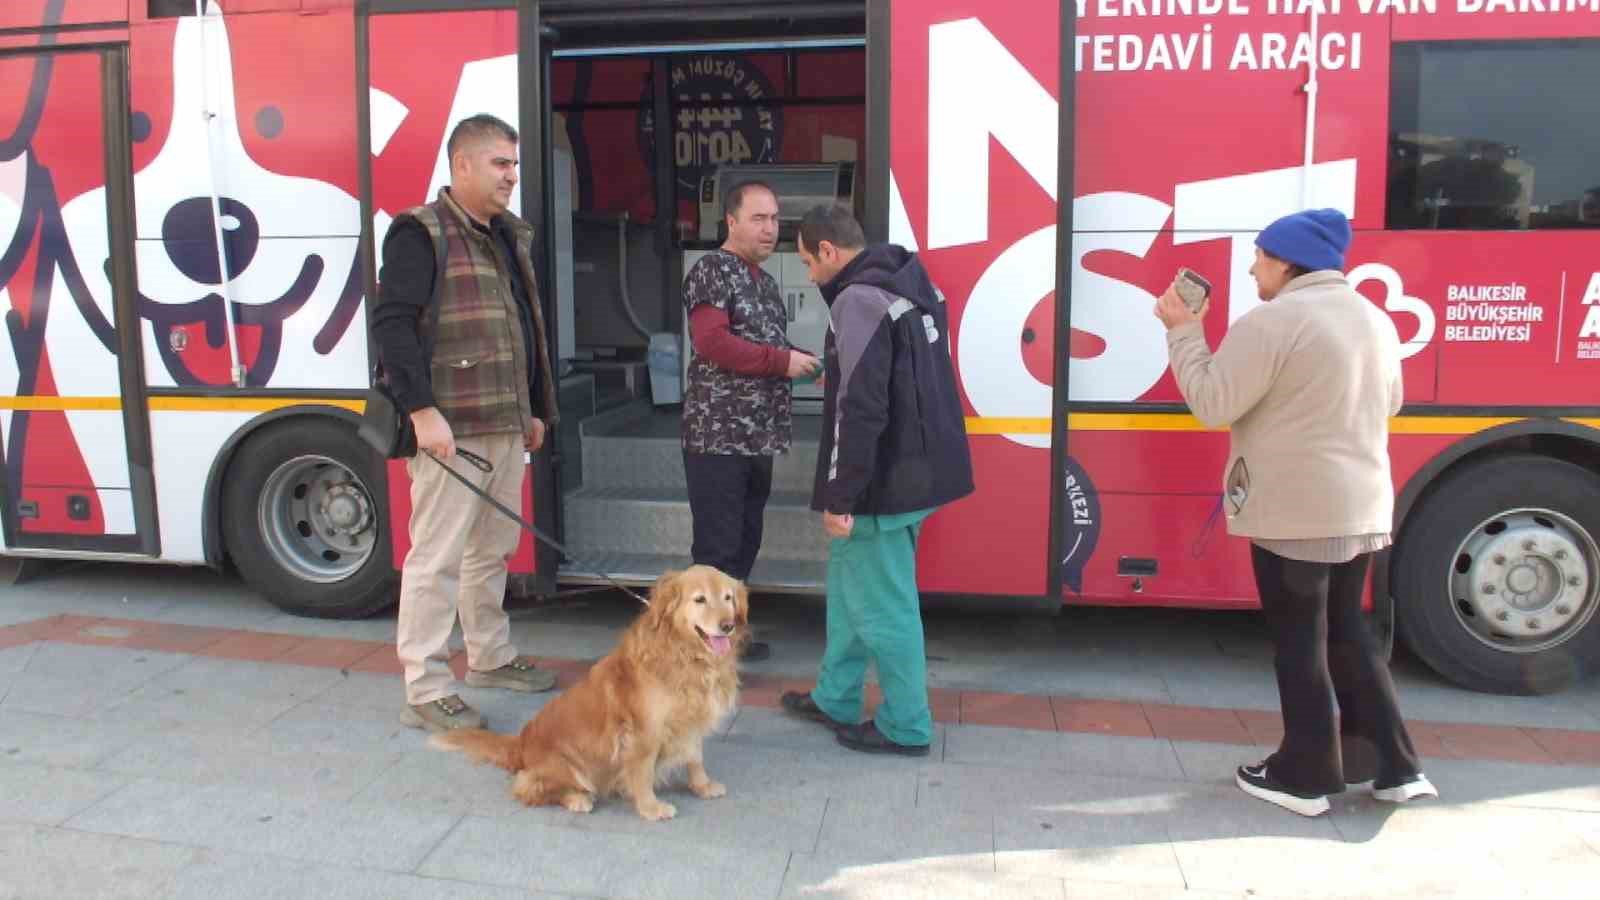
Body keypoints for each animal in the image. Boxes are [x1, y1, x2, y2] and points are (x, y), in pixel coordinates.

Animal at [425, 563, 748, 816]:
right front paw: (650, 808)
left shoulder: (690, 723)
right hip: (567, 767)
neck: (685, 656)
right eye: (700, 599)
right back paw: (576, 799)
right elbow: (642, 773)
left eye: (728, 597)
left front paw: (703, 786)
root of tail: (521, 744)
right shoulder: (644, 733)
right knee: (528, 788)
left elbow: (695, 757)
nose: (728, 625)